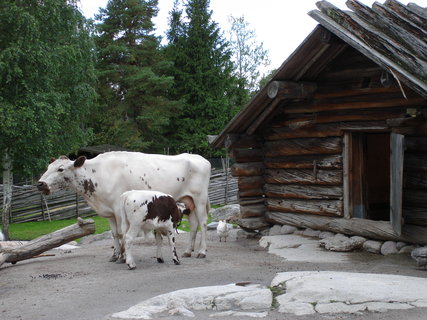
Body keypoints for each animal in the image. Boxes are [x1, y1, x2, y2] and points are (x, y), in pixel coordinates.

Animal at [37, 152, 211, 260]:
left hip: (200, 198)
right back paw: (188, 251)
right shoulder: (109, 212)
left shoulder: (118, 208)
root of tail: (201, 158)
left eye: (60, 169)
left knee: (203, 223)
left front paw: (123, 256)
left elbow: (122, 233)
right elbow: (114, 234)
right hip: (188, 200)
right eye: (47, 168)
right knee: (194, 224)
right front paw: (115, 255)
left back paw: (202, 251)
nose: (40, 184)